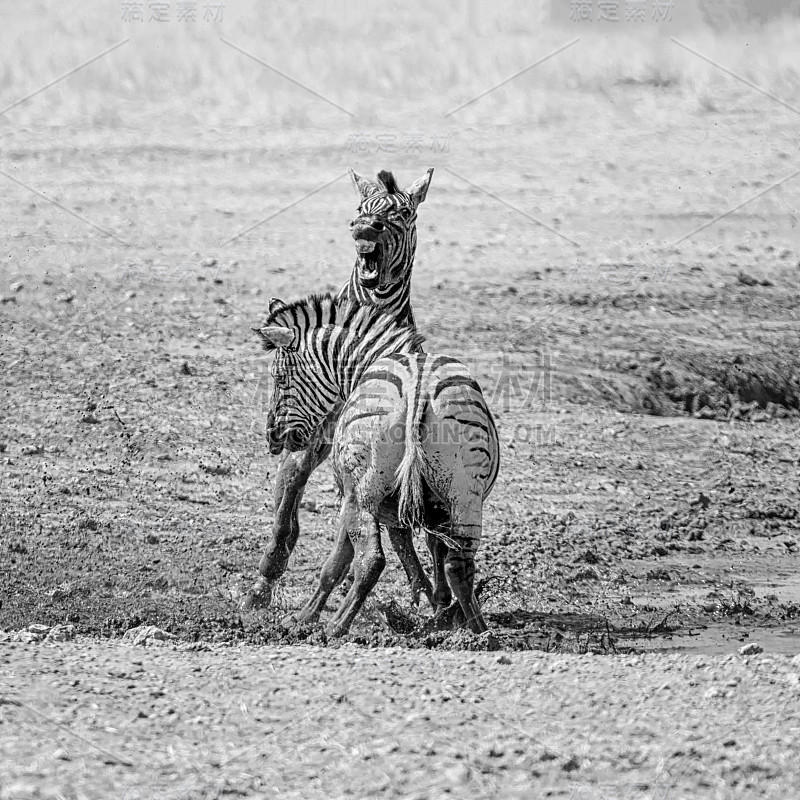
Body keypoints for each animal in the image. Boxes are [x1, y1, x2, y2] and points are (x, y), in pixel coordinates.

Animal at [241, 166, 434, 608]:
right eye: (361, 208)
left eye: (404, 213)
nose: (365, 227)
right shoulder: (312, 435)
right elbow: (288, 500)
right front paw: (265, 579)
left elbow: (397, 524)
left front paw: (424, 590)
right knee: (290, 495)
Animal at [258, 294, 500, 636]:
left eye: (279, 377)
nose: (273, 436)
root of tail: (418, 385)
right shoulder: (437, 507)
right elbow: (436, 550)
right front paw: (443, 614)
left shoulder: (349, 494)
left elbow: (338, 562)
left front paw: (304, 618)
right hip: (465, 496)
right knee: (460, 565)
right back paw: (480, 633)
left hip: (364, 495)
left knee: (371, 561)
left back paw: (336, 627)